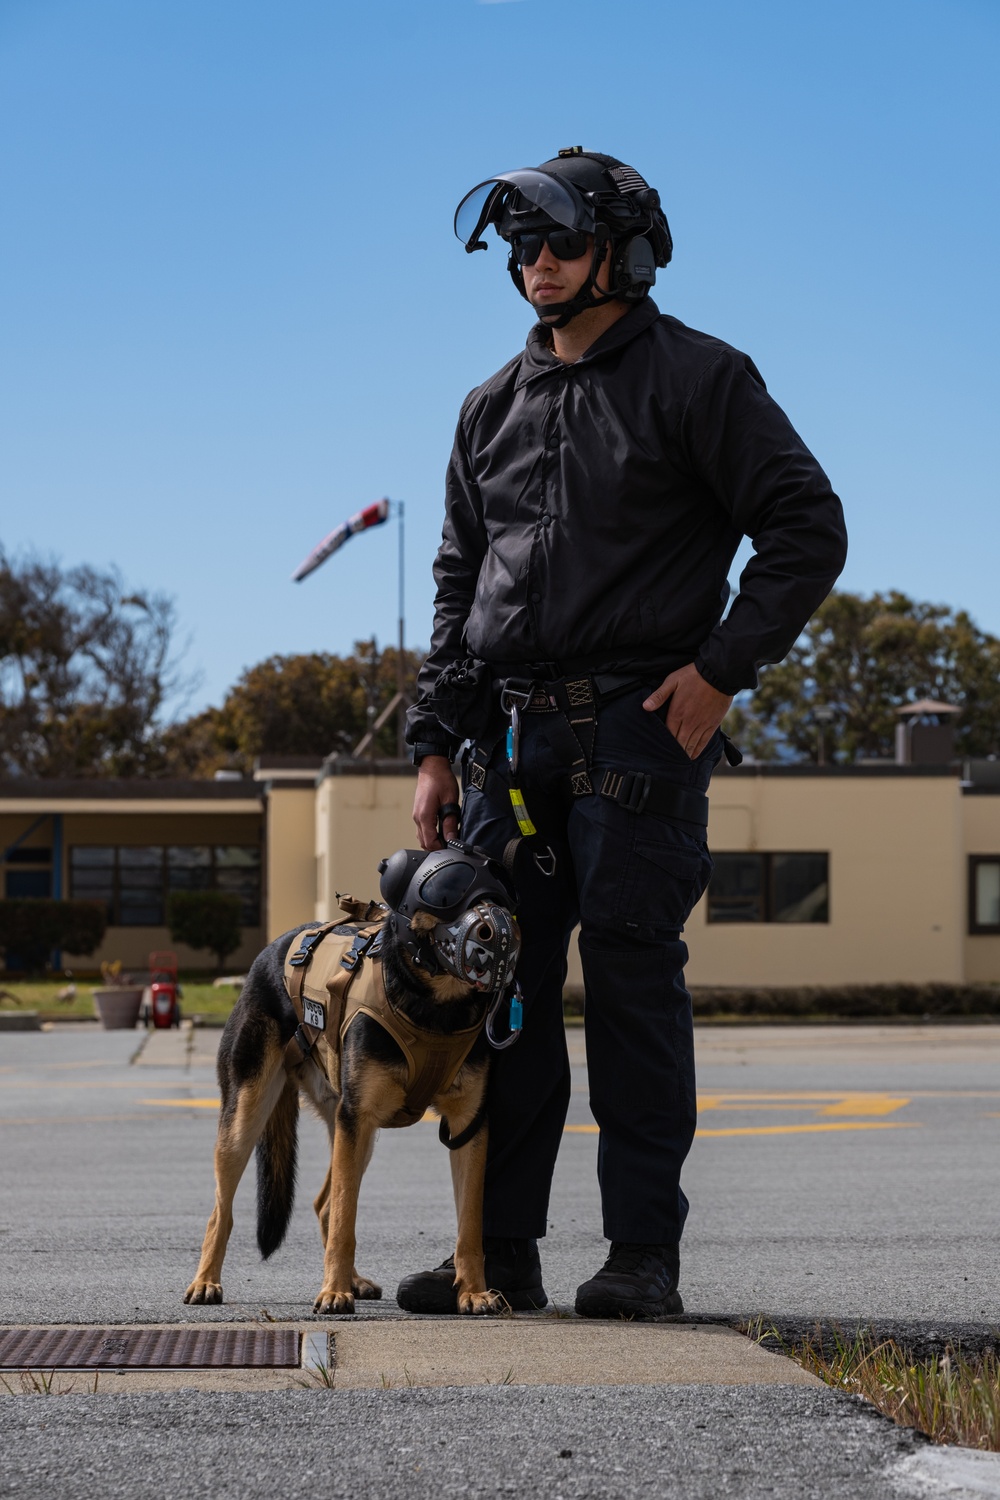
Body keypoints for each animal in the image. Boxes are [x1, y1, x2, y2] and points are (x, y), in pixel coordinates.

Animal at [182, 846, 521, 1314]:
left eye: (501, 892)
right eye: (448, 889)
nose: (496, 931)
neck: (435, 1005)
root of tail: (272, 949)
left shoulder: (467, 1127)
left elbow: (469, 1224)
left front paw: (472, 1292)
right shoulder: (356, 1118)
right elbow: (346, 1218)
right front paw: (333, 1293)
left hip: (356, 1132)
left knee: (325, 1202)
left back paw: (353, 1280)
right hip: (250, 1117)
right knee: (224, 1208)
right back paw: (206, 1281)